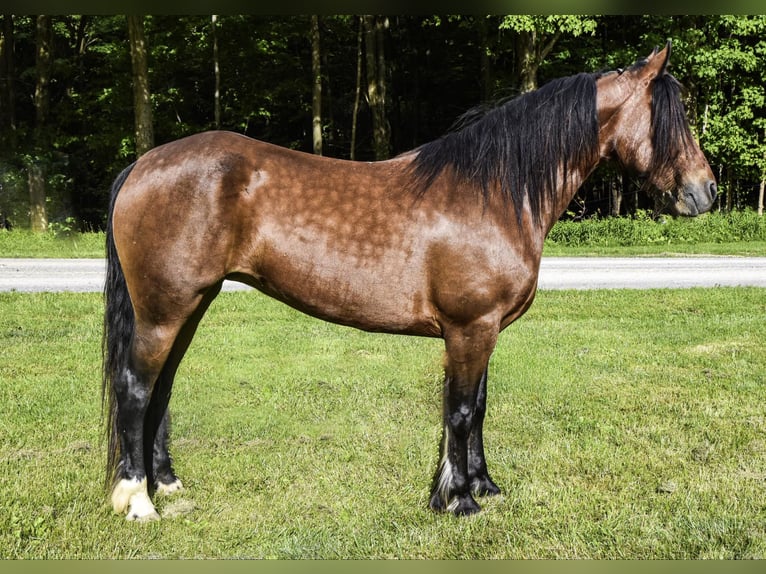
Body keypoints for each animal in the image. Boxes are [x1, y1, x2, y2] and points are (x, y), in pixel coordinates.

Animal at [102, 42, 720, 524]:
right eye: (670, 119)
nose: (706, 192)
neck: (493, 192)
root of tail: (141, 165)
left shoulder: (484, 330)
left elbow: (479, 407)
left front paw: (484, 486)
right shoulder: (470, 329)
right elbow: (461, 411)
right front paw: (460, 501)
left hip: (189, 305)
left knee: (162, 388)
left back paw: (167, 485)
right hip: (164, 310)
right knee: (135, 389)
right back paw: (138, 502)